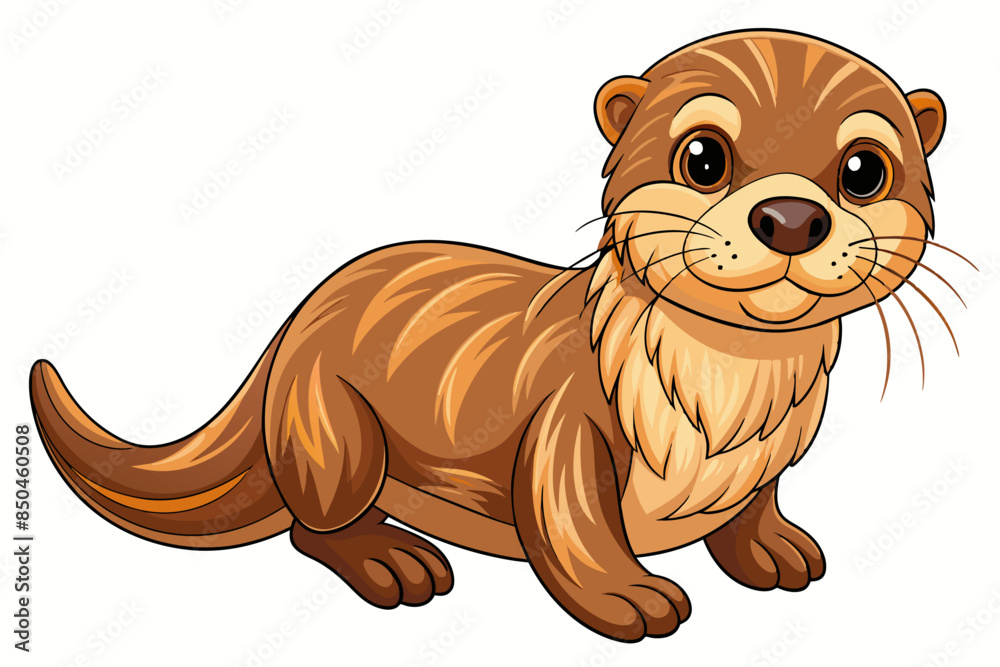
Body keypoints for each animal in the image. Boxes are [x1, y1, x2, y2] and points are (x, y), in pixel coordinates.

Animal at [30, 29, 951, 642]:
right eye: (703, 157)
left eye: (864, 169)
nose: (791, 215)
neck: (719, 408)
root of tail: (291, 327)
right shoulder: (569, 422)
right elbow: (569, 518)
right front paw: (629, 598)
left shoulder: (766, 458)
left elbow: (754, 505)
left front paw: (777, 548)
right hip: (333, 433)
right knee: (311, 526)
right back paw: (396, 563)